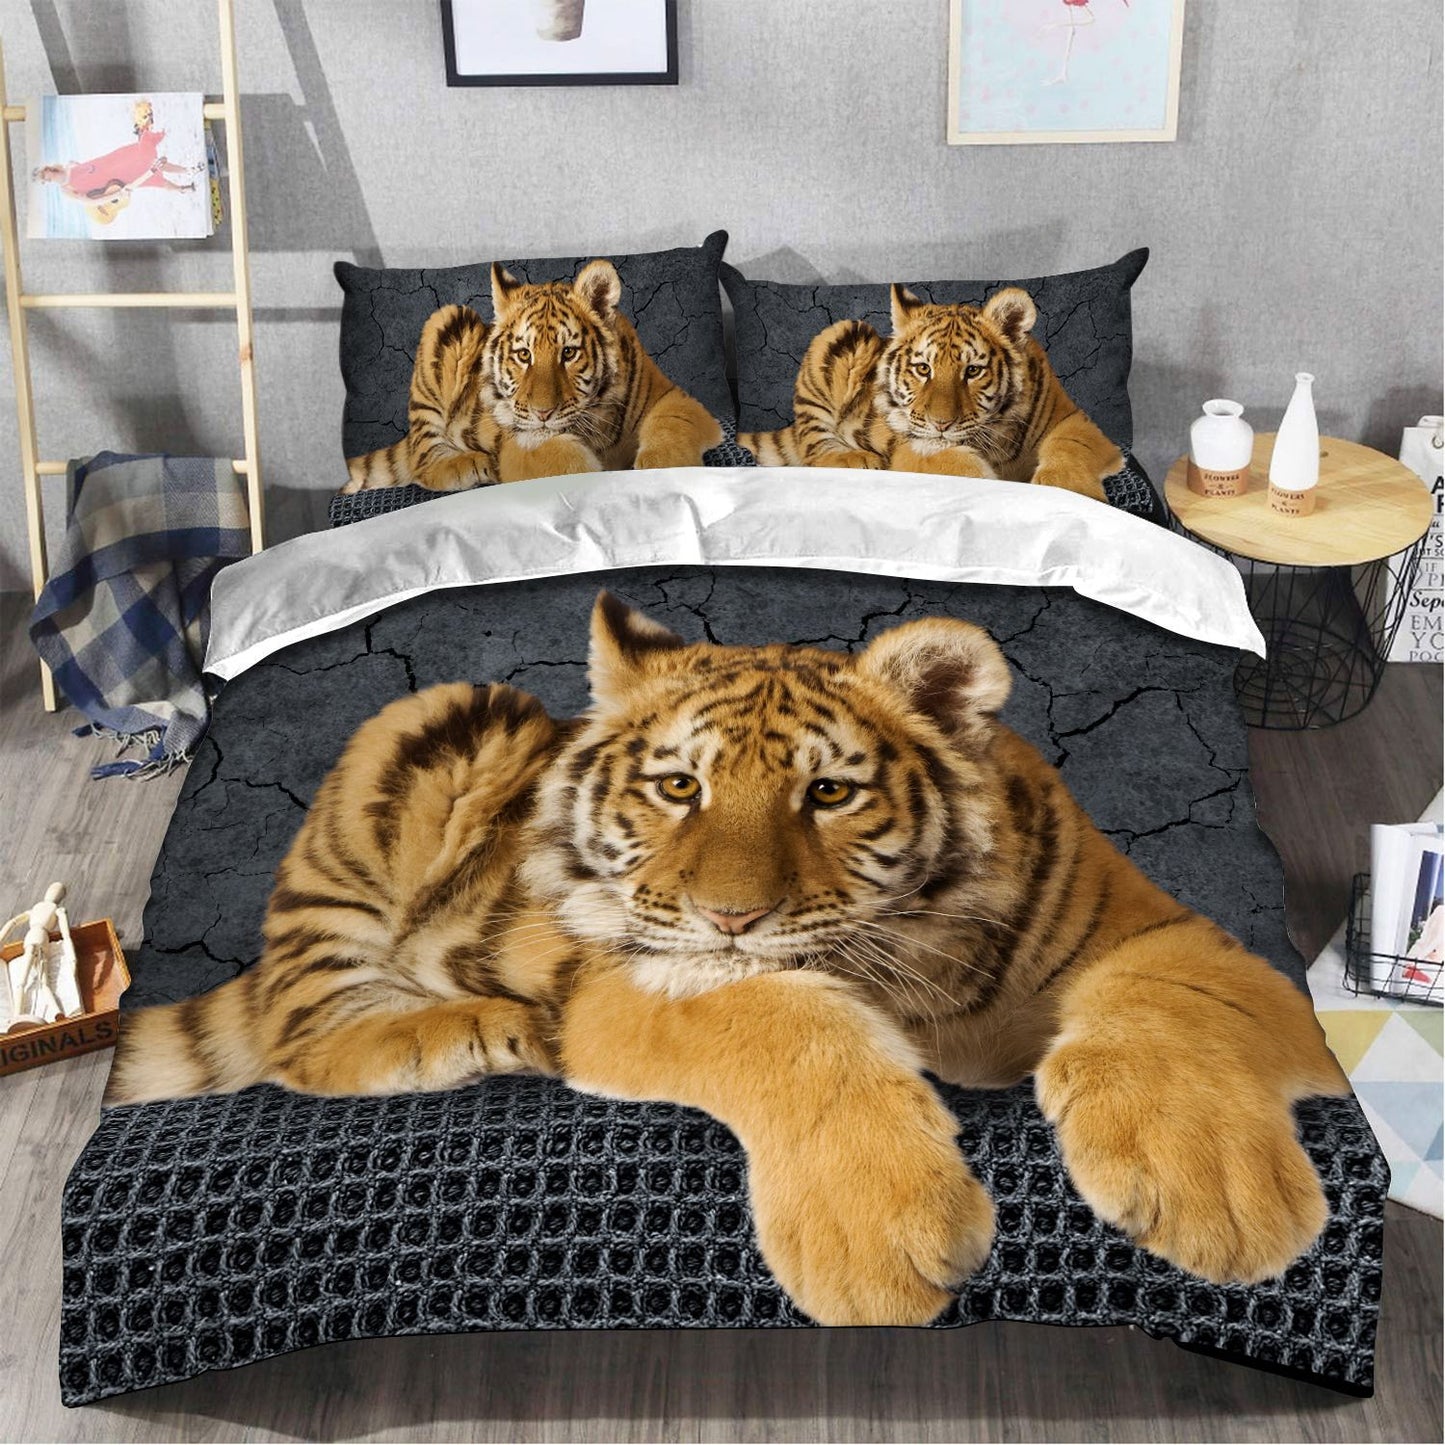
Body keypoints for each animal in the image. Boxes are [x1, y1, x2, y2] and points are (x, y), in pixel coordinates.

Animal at [106, 592, 1348, 1329]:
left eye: (829, 792)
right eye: (677, 786)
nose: (729, 916)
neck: (923, 969)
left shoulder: (1161, 931)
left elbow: (1165, 1003)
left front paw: (1219, 1203)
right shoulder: (646, 976)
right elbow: (788, 1023)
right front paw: (880, 1236)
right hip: (428, 738)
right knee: (297, 1026)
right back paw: (467, 1027)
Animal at [339, 259, 722, 494]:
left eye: (569, 353)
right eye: (524, 355)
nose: (543, 413)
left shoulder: (673, 397)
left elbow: (672, 425)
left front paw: (662, 470)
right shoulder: (524, 444)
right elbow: (563, 462)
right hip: (447, 319)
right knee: (423, 456)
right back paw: (470, 464)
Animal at [739, 285, 1123, 501]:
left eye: (973, 371)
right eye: (923, 369)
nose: (941, 424)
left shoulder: (1075, 419)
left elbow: (1071, 445)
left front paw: (1070, 489)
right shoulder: (920, 449)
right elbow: (961, 468)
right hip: (841, 334)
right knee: (812, 448)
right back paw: (855, 459)